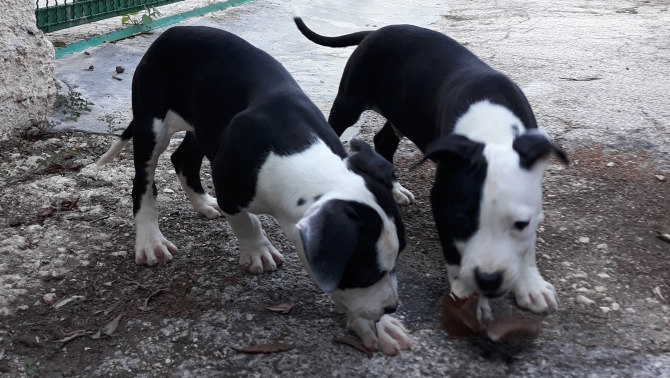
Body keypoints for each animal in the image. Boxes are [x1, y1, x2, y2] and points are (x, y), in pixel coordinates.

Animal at [94, 25, 410, 354]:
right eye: (366, 273)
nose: (390, 307)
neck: (297, 153)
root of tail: (172, 31)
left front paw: (380, 327)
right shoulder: (229, 187)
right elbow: (247, 221)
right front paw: (258, 251)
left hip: (204, 123)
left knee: (183, 159)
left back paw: (203, 203)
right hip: (151, 124)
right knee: (143, 183)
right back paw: (150, 241)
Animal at [294, 15, 568, 322]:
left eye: (520, 223)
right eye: (462, 221)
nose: (488, 280)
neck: (493, 132)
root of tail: (377, 32)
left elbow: (527, 244)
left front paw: (531, 285)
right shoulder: (443, 198)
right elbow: (453, 250)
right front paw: (464, 294)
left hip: (402, 113)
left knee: (383, 140)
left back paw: (395, 189)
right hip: (349, 101)